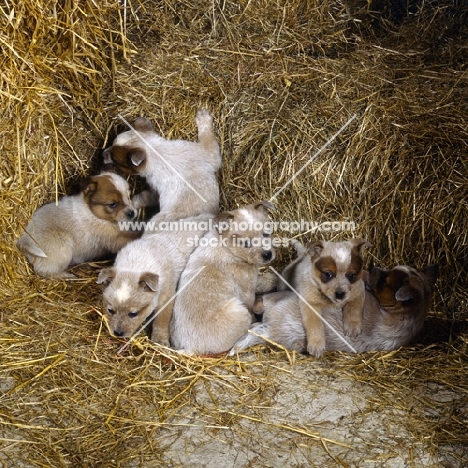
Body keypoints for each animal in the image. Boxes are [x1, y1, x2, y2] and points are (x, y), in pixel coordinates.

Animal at [97, 214, 212, 346]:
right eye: (110, 310)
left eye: (133, 314)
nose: (118, 333)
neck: (136, 264)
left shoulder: (166, 297)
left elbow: (161, 320)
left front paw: (160, 340)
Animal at [170, 201, 276, 354]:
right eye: (246, 243)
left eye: (266, 234)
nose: (267, 254)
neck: (227, 247)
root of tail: (192, 347)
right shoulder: (247, 292)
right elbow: (252, 305)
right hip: (238, 309)